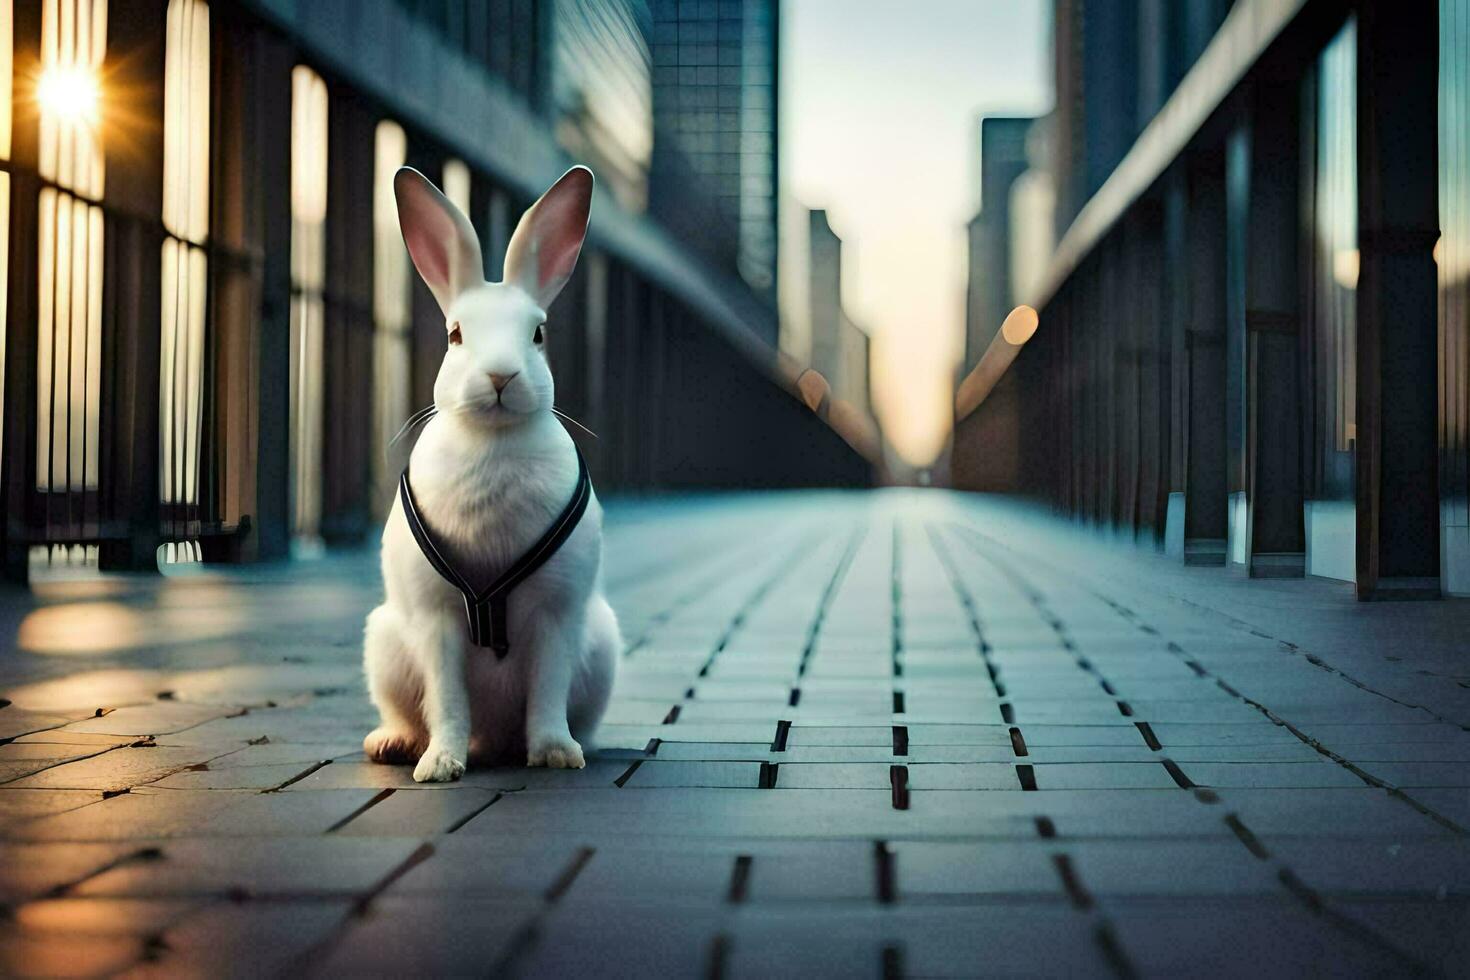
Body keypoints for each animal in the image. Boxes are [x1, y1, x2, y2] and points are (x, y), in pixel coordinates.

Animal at [367, 164, 626, 787]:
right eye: (456, 334)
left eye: (538, 334)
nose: (501, 375)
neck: (494, 441)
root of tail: (496, 738)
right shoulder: (435, 621)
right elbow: (447, 699)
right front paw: (440, 767)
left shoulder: (558, 613)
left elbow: (548, 691)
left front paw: (556, 754)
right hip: (385, 644)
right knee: (410, 713)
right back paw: (391, 745)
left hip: (601, 647)